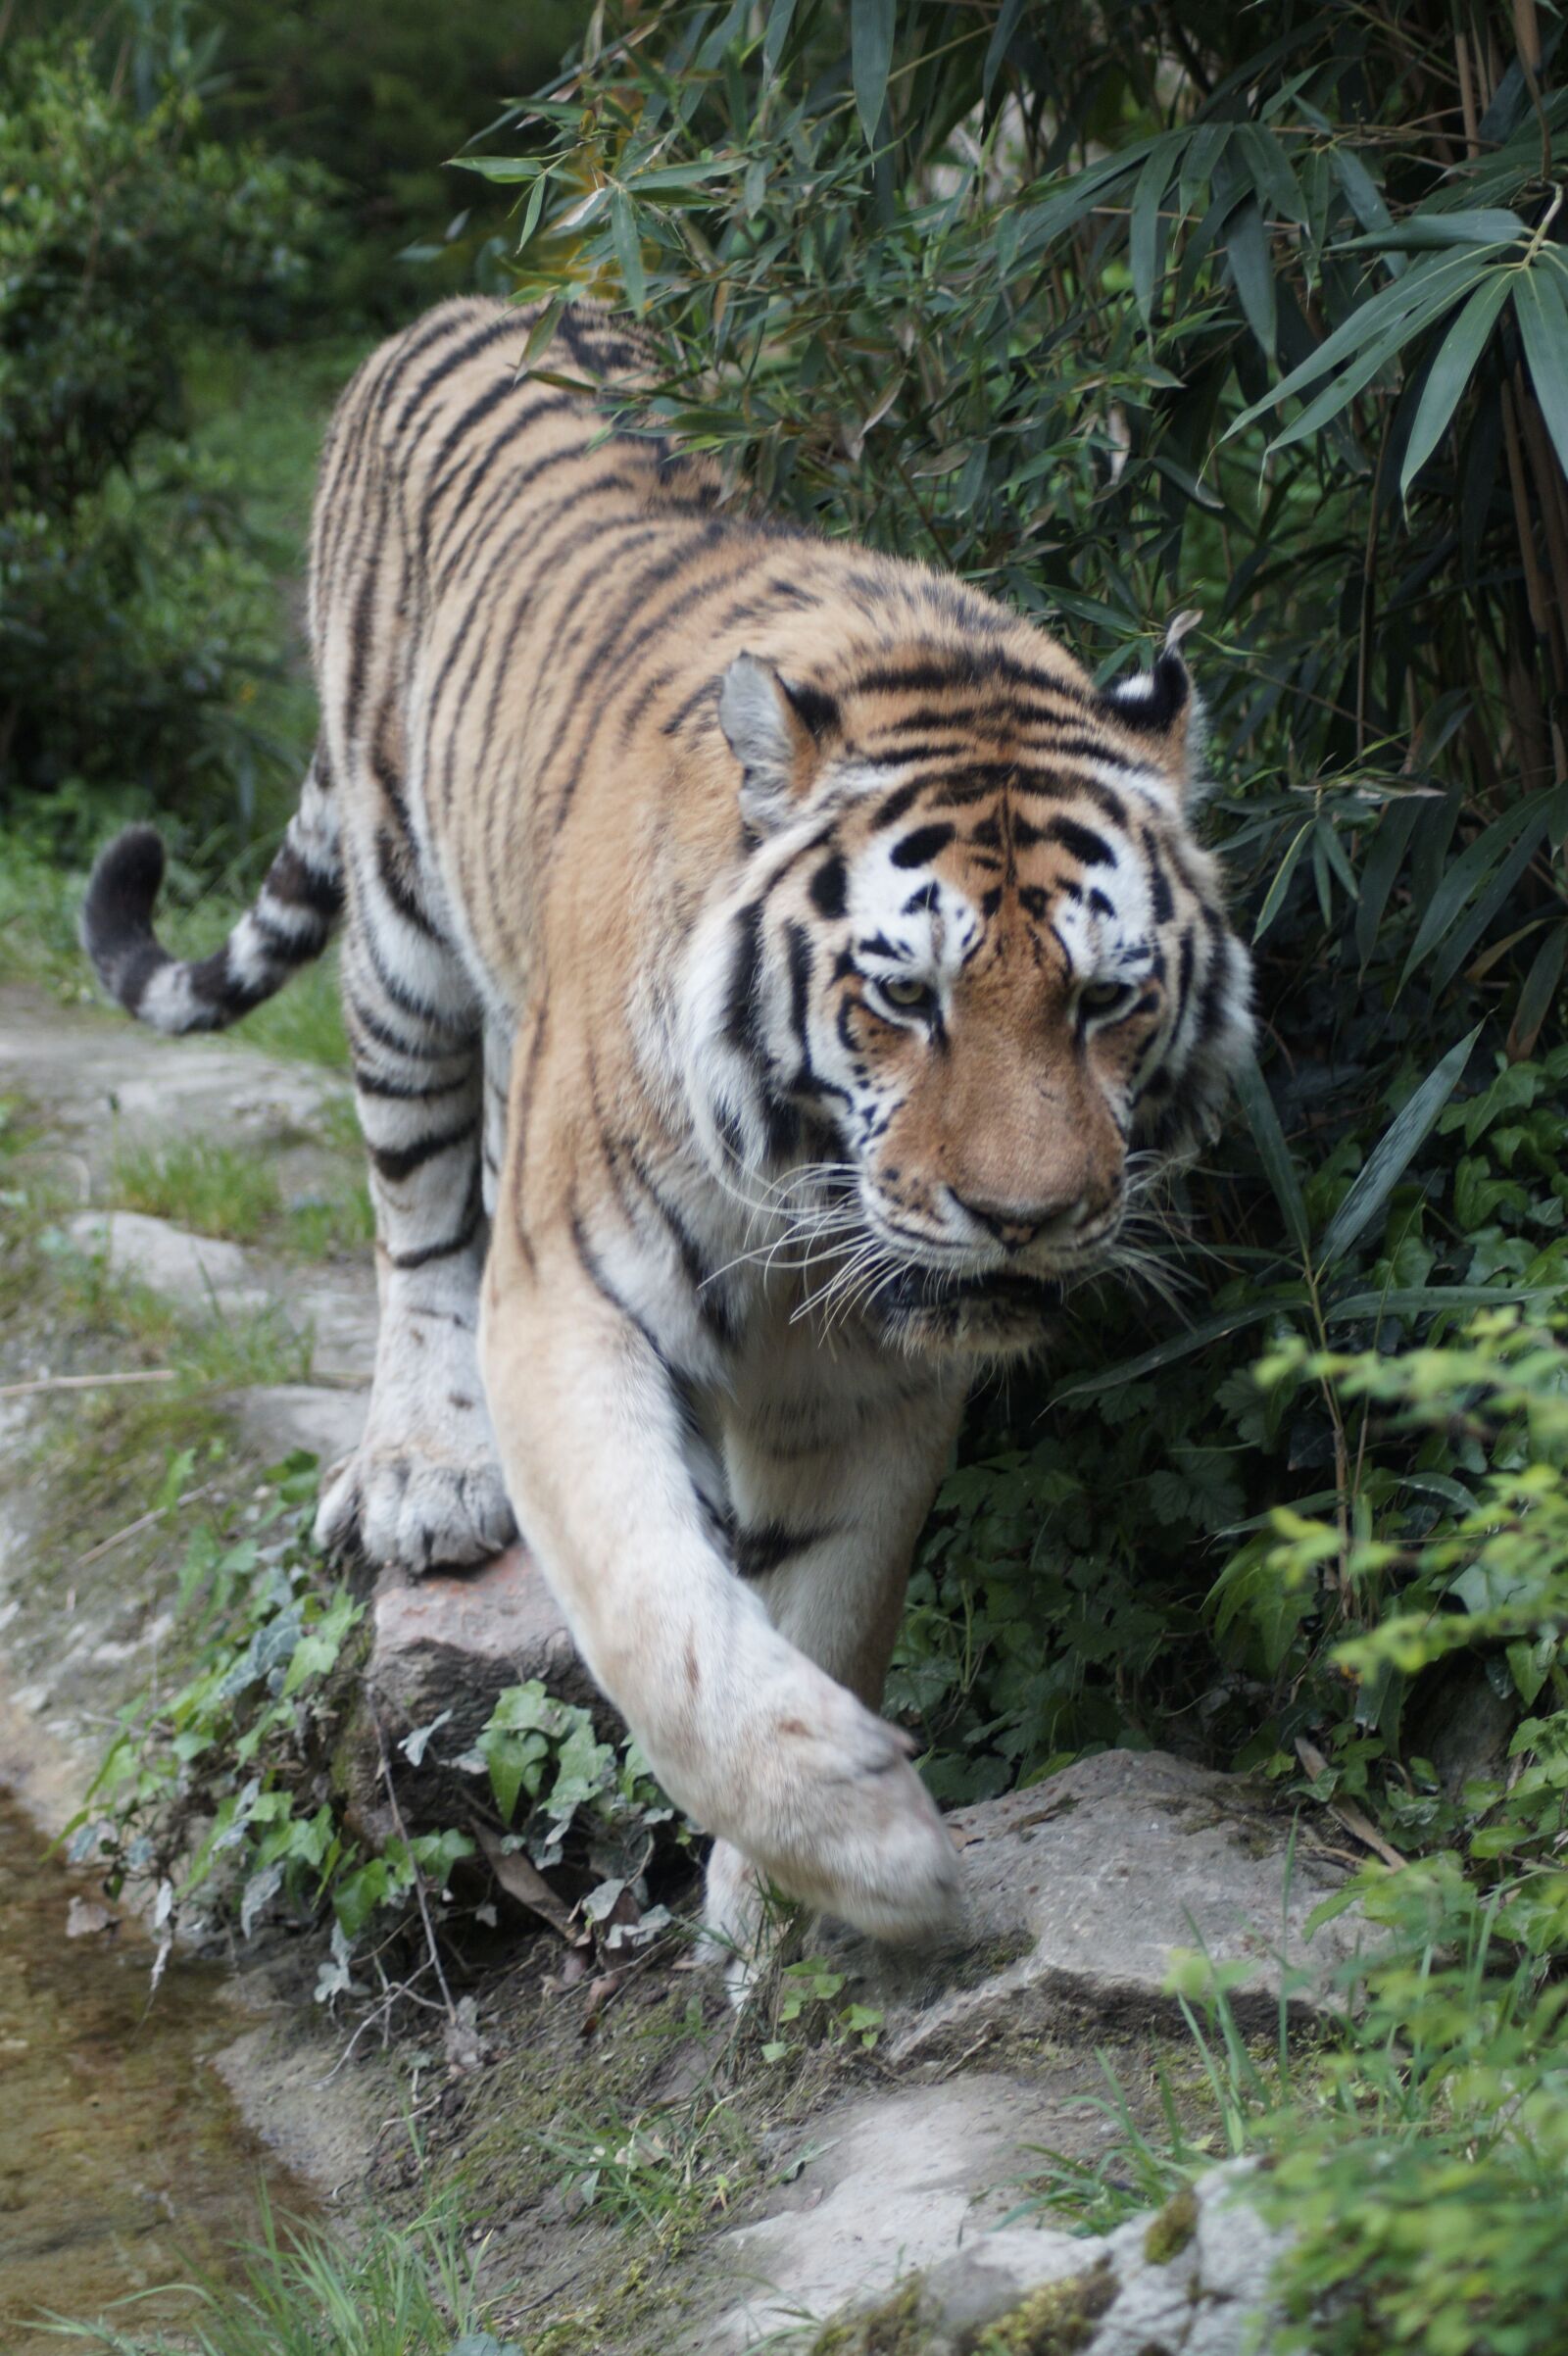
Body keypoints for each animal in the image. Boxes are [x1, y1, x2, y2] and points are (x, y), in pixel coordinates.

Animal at [81, 296, 1254, 1953]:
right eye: (905, 996)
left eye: (1106, 1001)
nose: (1024, 1221)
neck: (801, 1198)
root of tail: (465, 305)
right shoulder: (574, 1304)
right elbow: (657, 1615)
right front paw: (881, 1851)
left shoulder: (877, 1382)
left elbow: (831, 1601)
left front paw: (777, 1906)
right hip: (400, 932)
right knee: (420, 1222)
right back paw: (423, 1467)